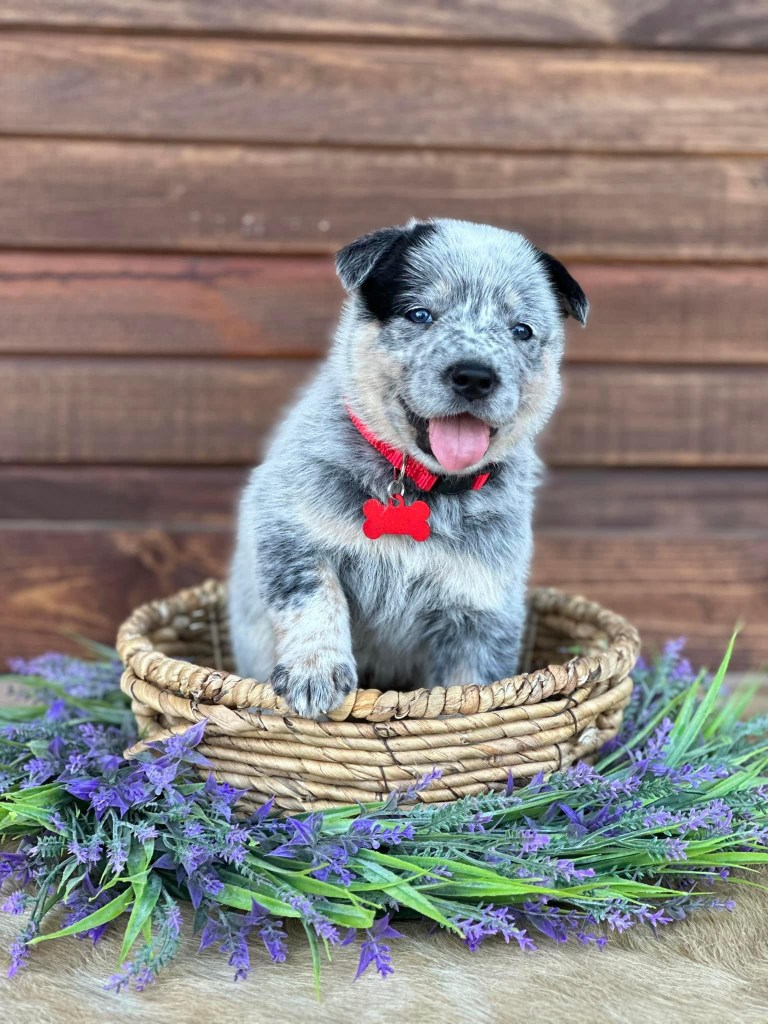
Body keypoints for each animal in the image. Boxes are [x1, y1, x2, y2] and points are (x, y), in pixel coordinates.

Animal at [229, 218, 587, 717]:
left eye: (521, 330)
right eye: (420, 315)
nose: (475, 376)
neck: (424, 486)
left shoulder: (481, 609)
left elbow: (467, 684)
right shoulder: (289, 529)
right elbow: (315, 596)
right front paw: (314, 671)